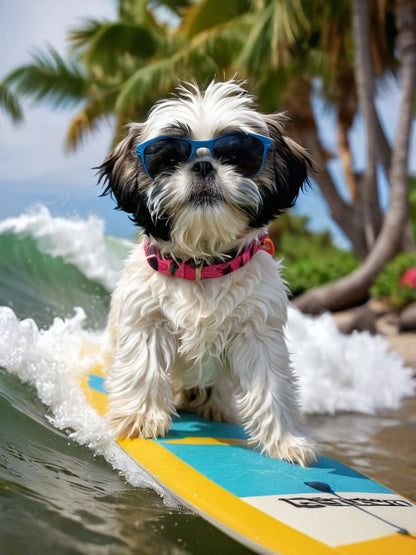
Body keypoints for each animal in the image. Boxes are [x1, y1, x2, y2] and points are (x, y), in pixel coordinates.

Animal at [98, 80, 316, 466]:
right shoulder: (147, 319)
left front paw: (285, 440)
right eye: (169, 159)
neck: (202, 264)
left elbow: (272, 383)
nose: (202, 165)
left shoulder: (258, 329)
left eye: (237, 156)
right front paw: (139, 417)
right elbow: (143, 365)